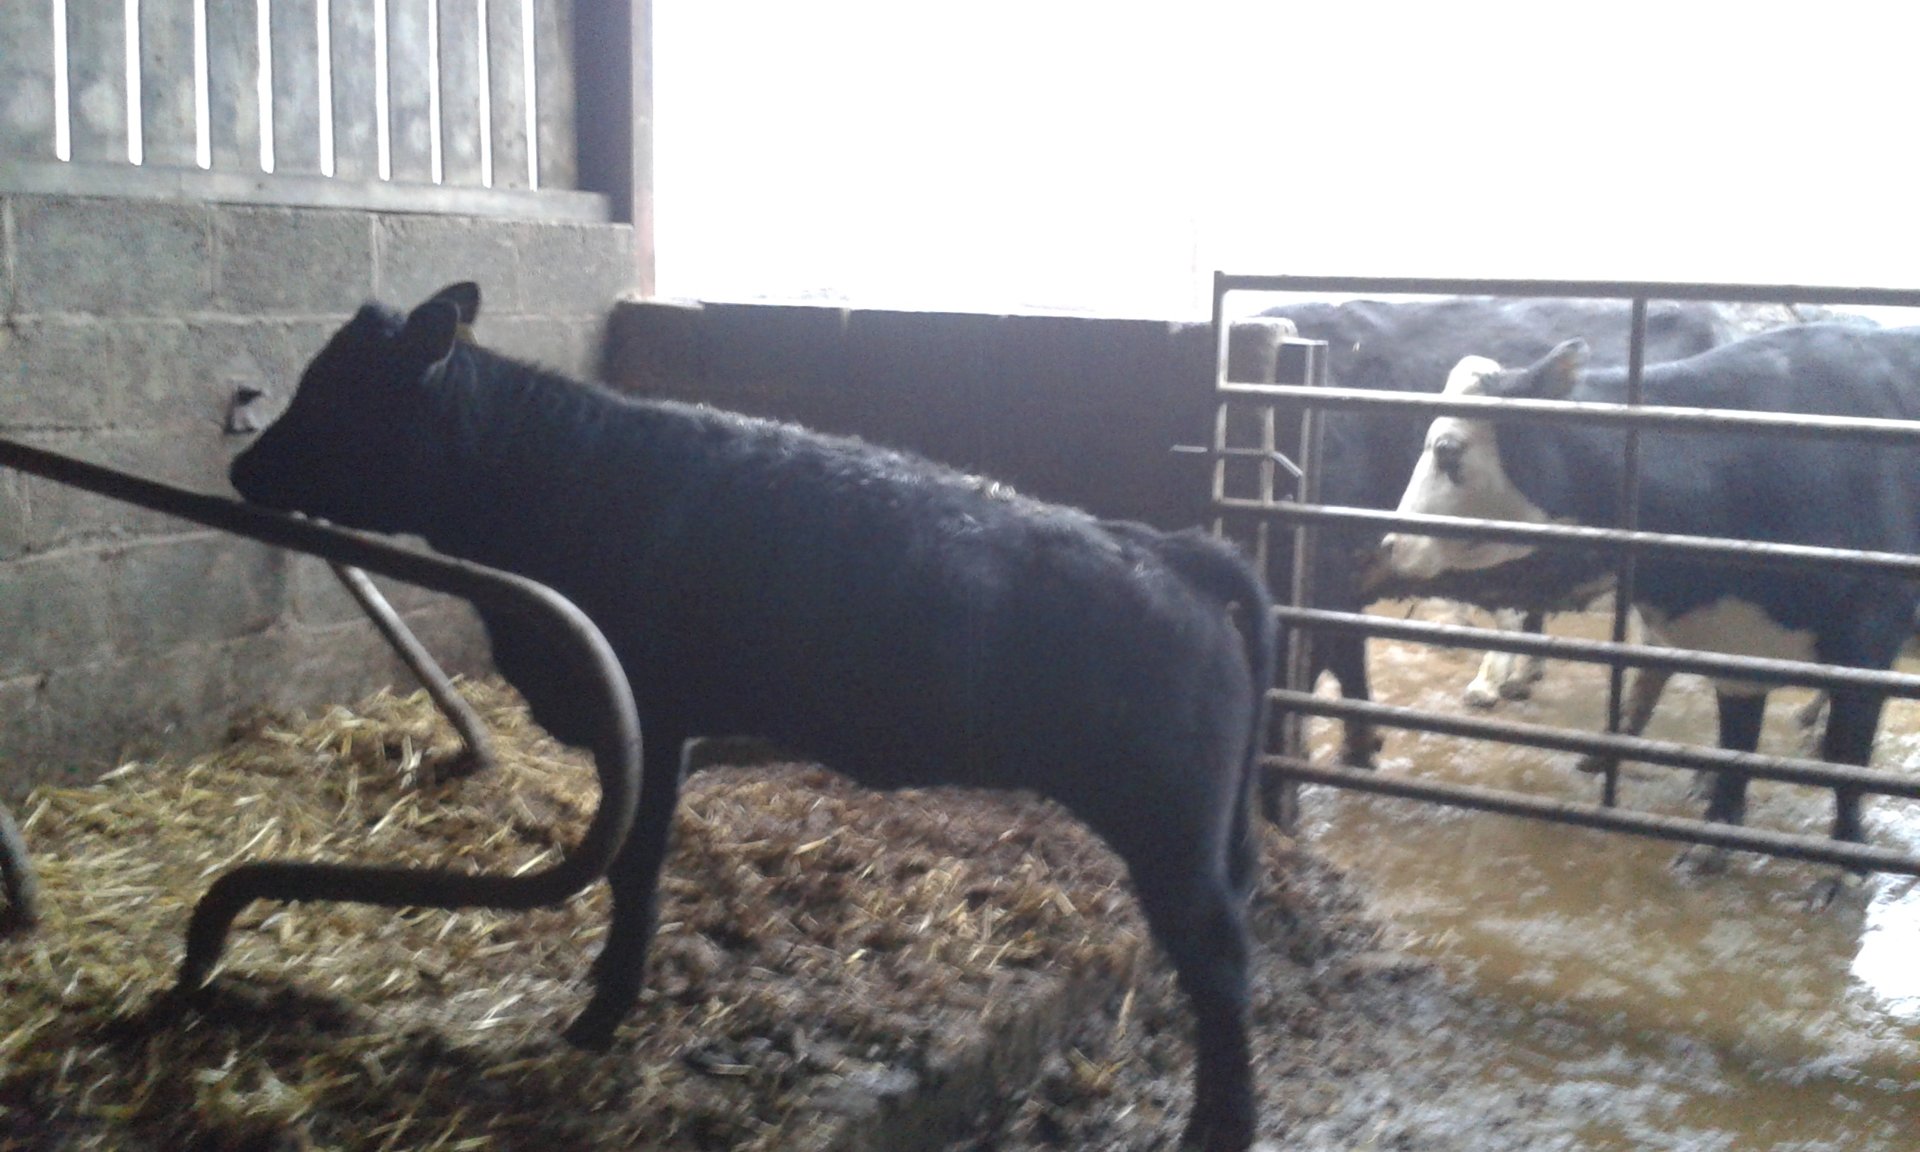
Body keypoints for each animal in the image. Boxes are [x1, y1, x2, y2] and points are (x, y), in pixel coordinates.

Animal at [229, 283, 1276, 1152]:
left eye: (337, 394)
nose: (241, 466)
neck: (558, 478)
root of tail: (1170, 547)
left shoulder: (650, 723)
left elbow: (635, 873)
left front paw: (602, 1016)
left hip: (1172, 829)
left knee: (1225, 969)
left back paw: (1218, 1131)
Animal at [1381, 324, 1920, 859]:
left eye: (1447, 450)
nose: (1391, 544)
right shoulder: (1735, 641)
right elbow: (1737, 739)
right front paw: (1715, 834)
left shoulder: (1871, 635)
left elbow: (1849, 753)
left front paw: (1847, 856)